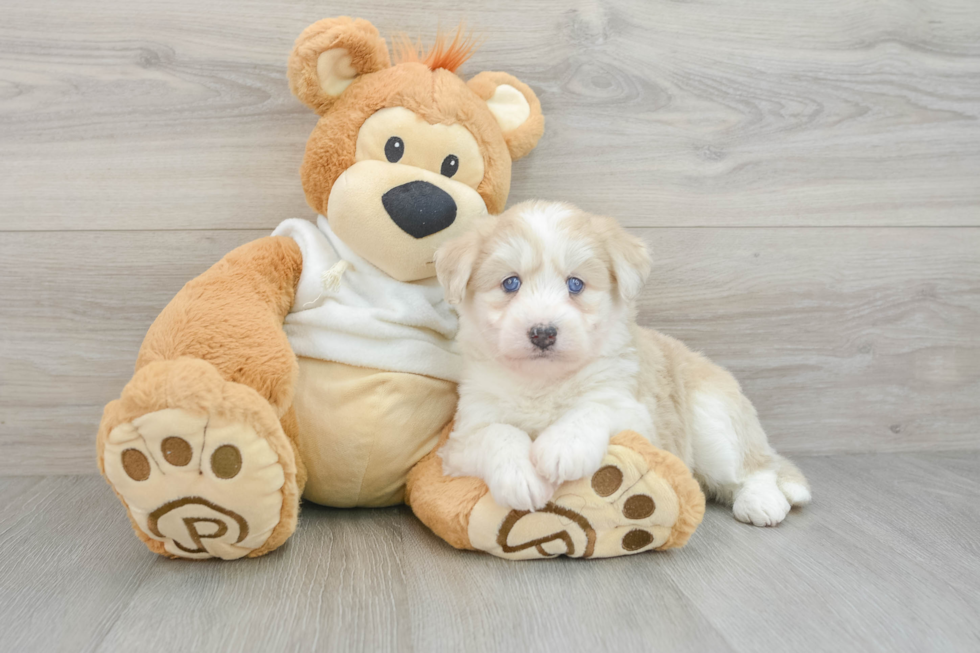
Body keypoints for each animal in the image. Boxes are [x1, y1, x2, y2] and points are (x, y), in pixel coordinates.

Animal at [436, 201, 812, 528]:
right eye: (510, 283)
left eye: (576, 284)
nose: (543, 333)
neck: (544, 382)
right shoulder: (463, 437)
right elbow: (498, 433)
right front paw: (520, 477)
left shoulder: (635, 414)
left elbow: (593, 408)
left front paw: (562, 446)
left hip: (713, 423)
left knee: (755, 469)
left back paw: (762, 501)